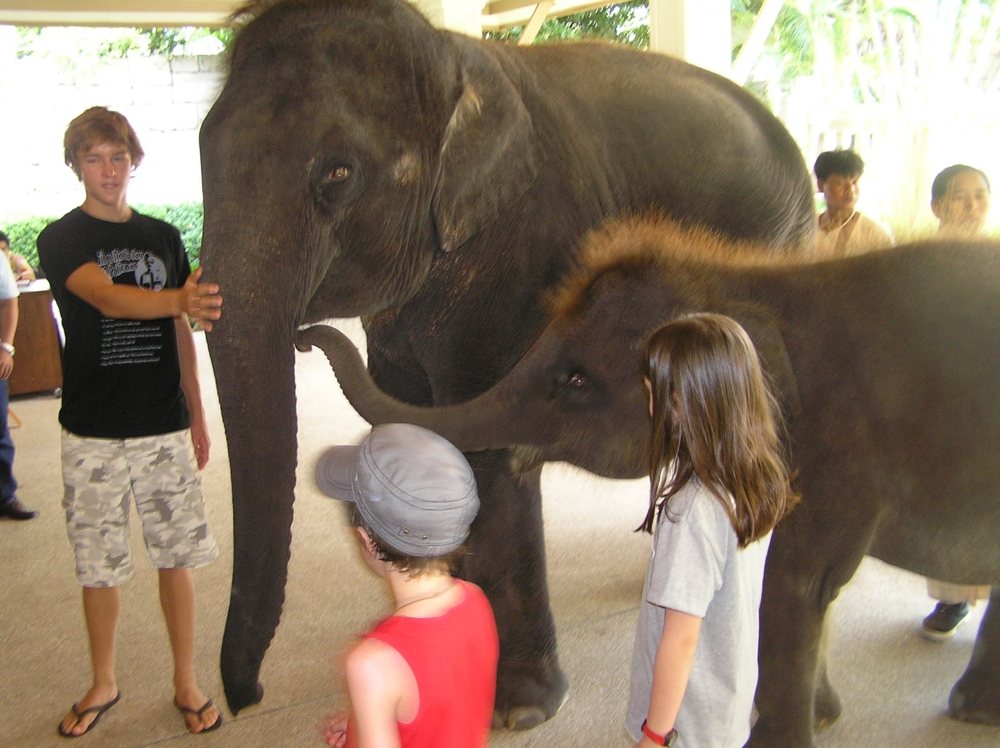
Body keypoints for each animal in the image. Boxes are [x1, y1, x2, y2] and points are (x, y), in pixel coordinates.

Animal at [199, 0, 816, 724]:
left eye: (337, 173)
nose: (243, 701)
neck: (450, 57)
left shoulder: (517, 257)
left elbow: (492, 453)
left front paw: (517, 710)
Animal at [296, 218, 1000, 748]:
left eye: (576, 381)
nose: (303, 337)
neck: (754, 282)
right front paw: (826, 717)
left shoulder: (842, 456)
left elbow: (800, 584)